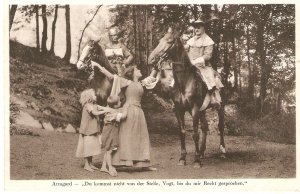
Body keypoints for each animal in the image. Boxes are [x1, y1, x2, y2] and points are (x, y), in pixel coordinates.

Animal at [148, 29, 225, 167]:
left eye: (169, 41)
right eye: (160, 40)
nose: (151, 59)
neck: (185, 81)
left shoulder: (194, 109)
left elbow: (195, 134)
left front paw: (196, 160)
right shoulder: (180, 110)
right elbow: (182, 132)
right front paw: (182, 158)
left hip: (220, 107)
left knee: (220, 126)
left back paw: (222, 151)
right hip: (202, 110)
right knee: (205, 126)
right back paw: (202, 151)